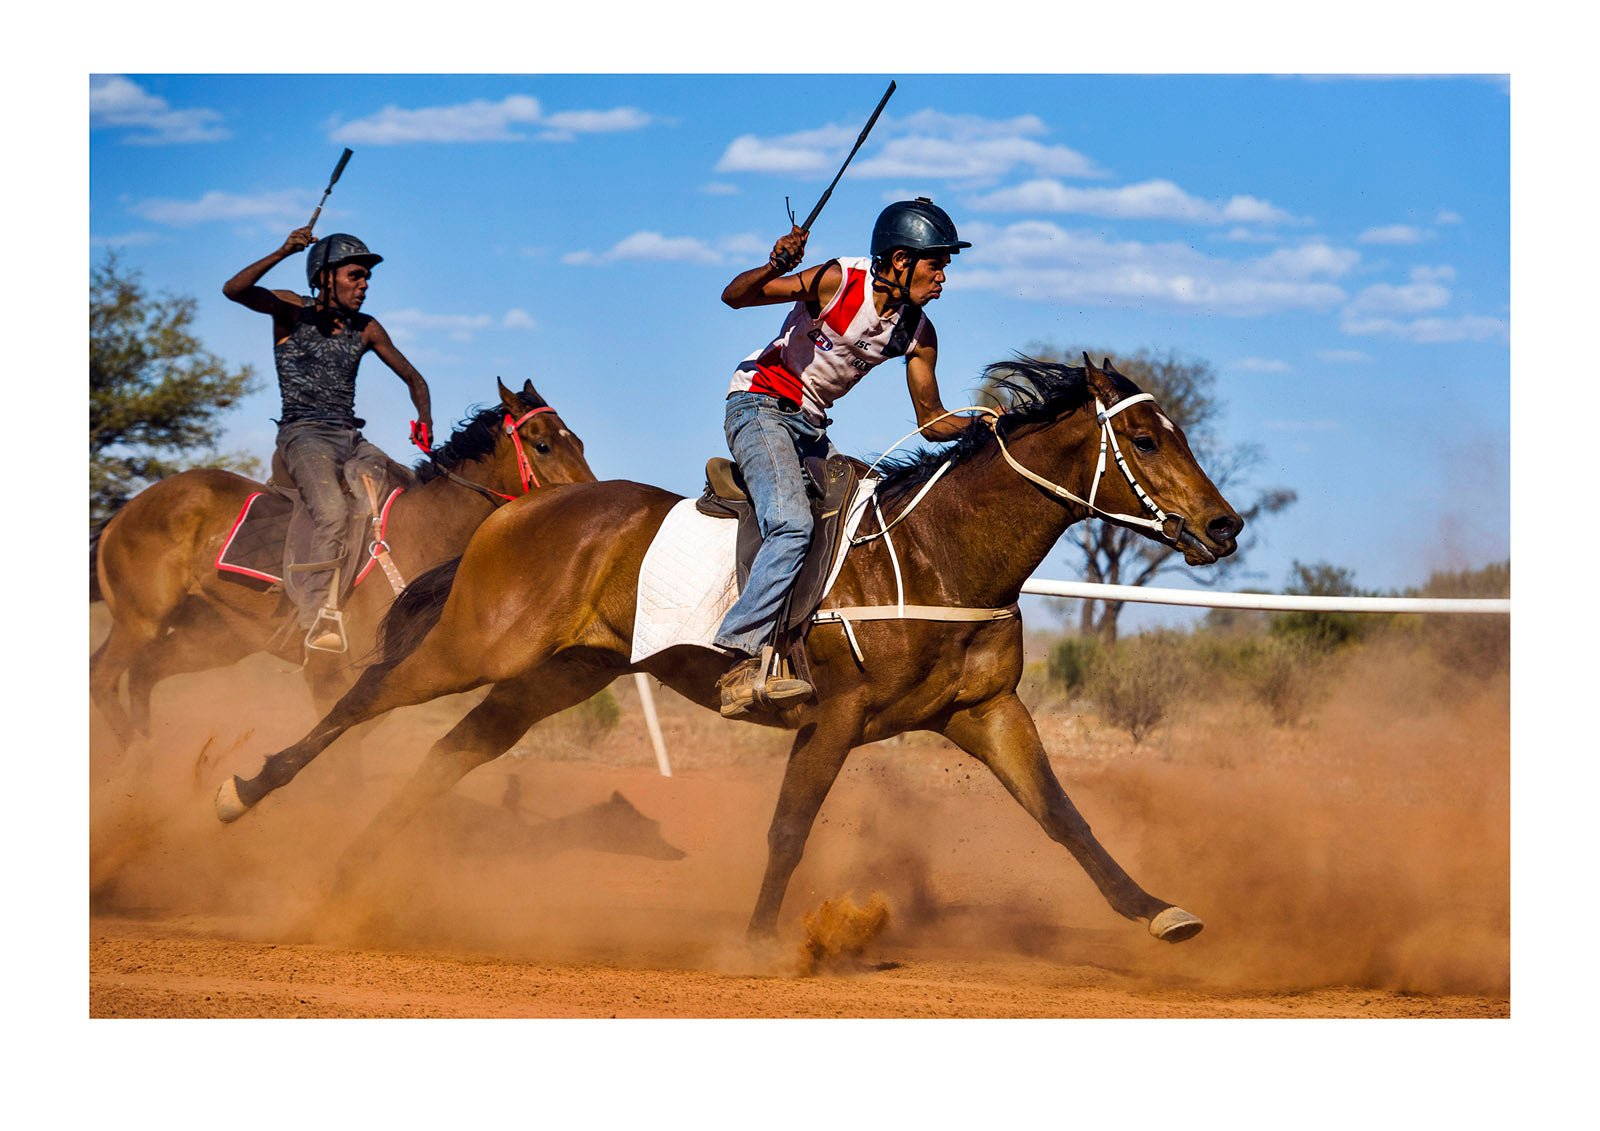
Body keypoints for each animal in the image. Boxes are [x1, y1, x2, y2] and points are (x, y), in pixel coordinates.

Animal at [86, 385, 595, 748]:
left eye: (580, 442)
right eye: (543, 445)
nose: (589, 495)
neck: (418, 535)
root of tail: (127, 511)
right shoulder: (328, 677)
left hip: (211, 636)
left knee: (143, 674)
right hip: (141, 621)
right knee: (104, 678)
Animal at [216, 358, 1235, 940]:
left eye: (1182, 430)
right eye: (1145, 438)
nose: (1224, 524)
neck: (937, 551)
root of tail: (515, 512)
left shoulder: (984, 711)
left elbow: (1065, 816)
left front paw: (1159, 909)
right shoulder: (835, 714)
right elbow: (788, 829)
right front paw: (753, 944)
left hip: (555, 675)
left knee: (450, 751)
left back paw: (348, 876)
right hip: (479, 644)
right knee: (364, 699)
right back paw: (244, 794)